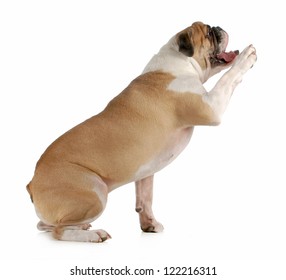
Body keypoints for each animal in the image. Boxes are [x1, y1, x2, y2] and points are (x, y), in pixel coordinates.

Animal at [26, 21, 256, 242]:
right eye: (208, 33)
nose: (218, 28)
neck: (180, 62)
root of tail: (32, 183)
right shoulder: (212, 106)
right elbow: (228, 78)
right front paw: (246, 57)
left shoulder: (146, 172)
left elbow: (145, 198)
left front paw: (149, 224)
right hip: (96, 191)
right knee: (59, 231)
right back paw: (93, 234)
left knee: (43, 224)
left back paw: (83, 226)